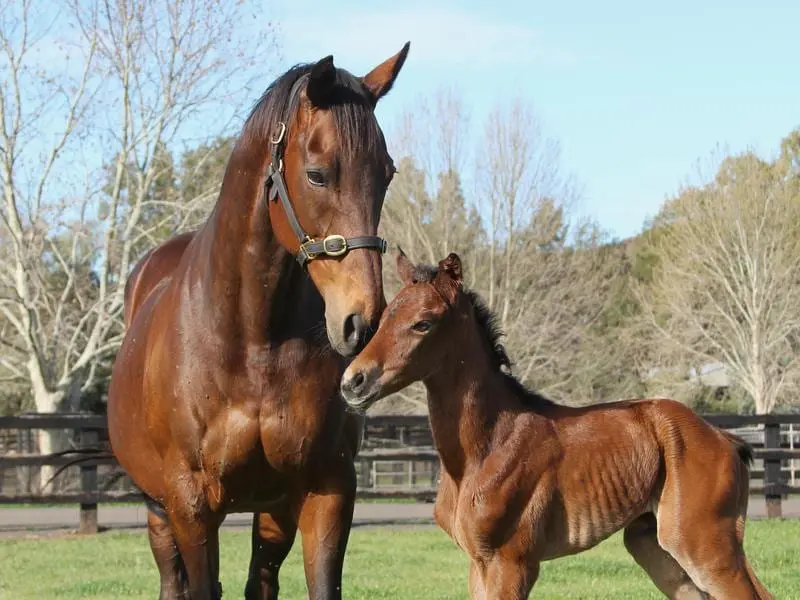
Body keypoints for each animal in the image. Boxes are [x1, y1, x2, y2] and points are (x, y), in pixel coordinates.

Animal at [108, 45, 406, 600]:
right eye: (317, 174)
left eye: (387, 172)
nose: (361, 322)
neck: (252, 341)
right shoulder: (191, 502)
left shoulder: (324, 488)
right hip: (159, 507)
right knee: (172, 579)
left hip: (271, 509)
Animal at [340, 252, 772, 600]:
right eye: (384, 318)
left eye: (423, 324)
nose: (352, 382)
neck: (487, 447)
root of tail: (726, 439)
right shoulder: (478, 564)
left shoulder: (512, 563)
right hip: (655, 546)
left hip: (704, 545)